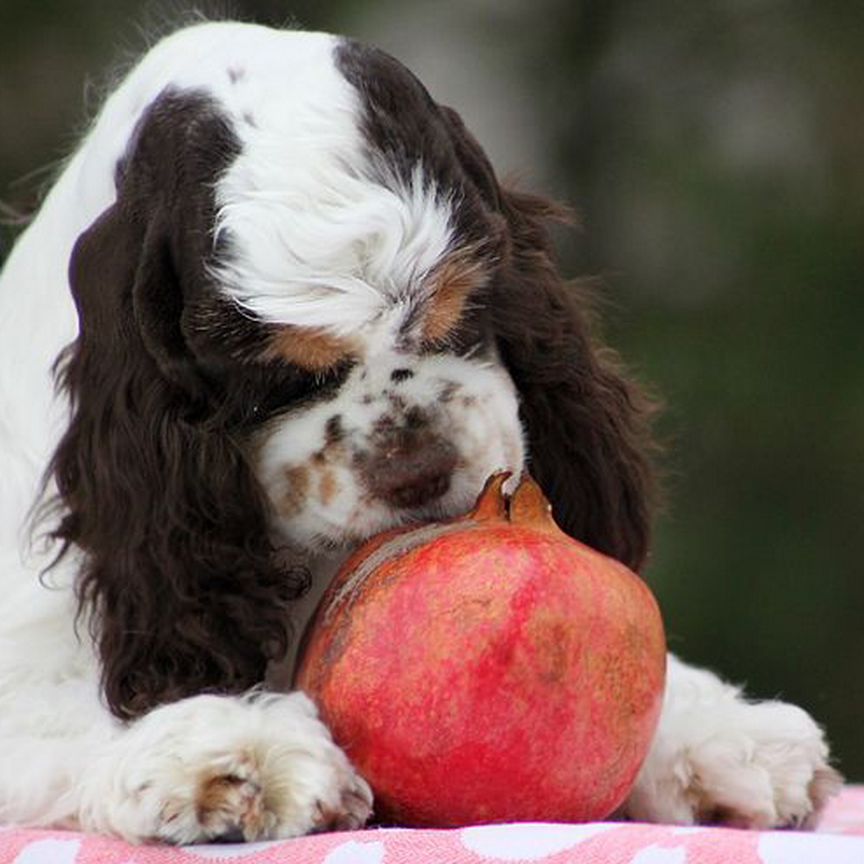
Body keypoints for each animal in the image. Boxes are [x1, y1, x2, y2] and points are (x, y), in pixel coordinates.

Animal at [0, 18, 840, 844]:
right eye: (277, 380)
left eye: (461, 316)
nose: (420, 472)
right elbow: (85, 703)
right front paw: (235, 752)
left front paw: (724, 734)